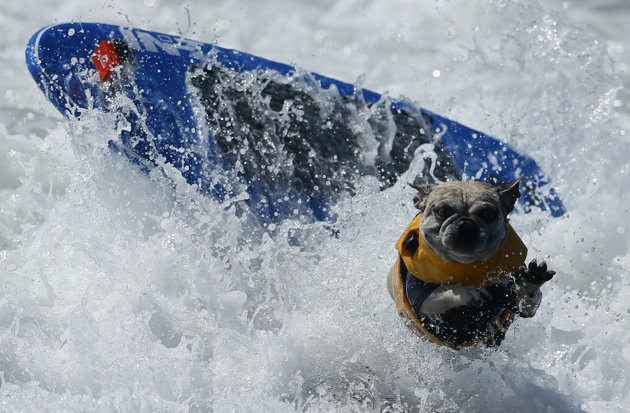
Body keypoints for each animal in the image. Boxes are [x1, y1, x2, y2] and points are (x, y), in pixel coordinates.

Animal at [388, 177, 556, 348]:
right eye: (443, 211)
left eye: (488, 214)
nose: (465, 223)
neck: (466, 264)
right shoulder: (422, 299)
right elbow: (444, 290)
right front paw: (467, 292)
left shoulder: (517, 297)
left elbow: (525, 303)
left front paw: (532, 280)